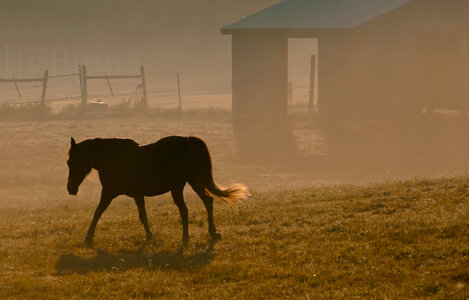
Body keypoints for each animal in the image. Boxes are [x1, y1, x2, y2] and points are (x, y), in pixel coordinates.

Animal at [66, 136, 249, 248]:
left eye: (70, 161)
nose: (70, 189)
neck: (112, 157)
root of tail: (188, 141)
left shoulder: (108, 193)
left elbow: (97, 212)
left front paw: (88, 238)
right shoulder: (137, 195)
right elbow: (143, 216)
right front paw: (149, 237)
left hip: (177, 188)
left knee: (185, 210)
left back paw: (185, 239)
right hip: (193, 181)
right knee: (207, 201)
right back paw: (212, 232)